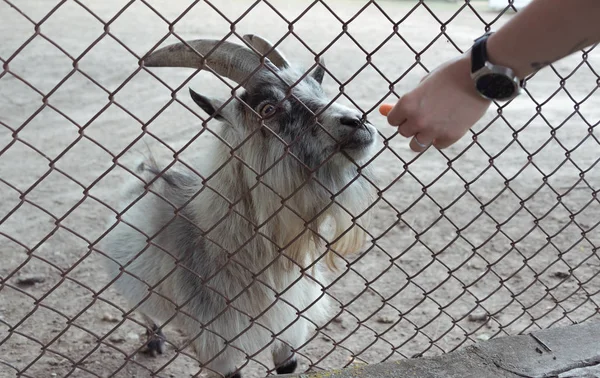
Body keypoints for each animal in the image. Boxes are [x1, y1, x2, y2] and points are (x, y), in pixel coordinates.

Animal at [100, 34, 378, 376]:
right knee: (144, 310)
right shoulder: (218, 348)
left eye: (319, 89)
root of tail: (146, 171)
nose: (357, 121)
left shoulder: (289, 333)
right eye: (268, 108)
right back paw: (154, 341)